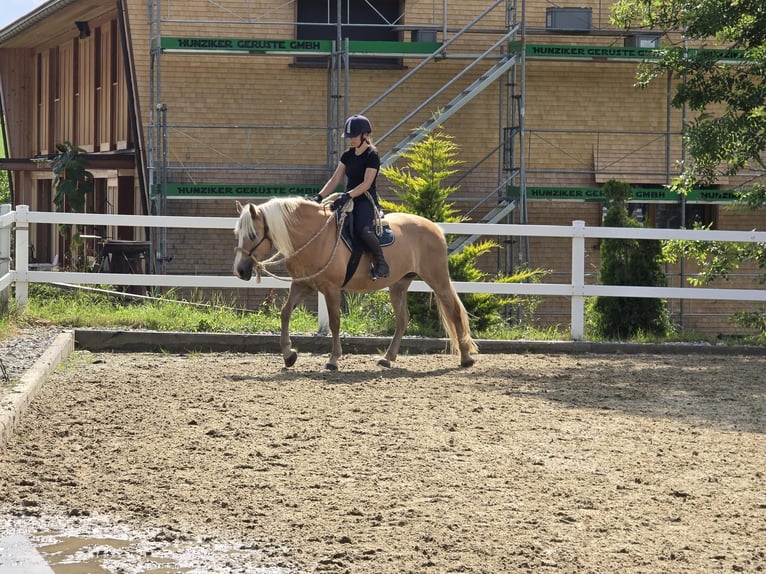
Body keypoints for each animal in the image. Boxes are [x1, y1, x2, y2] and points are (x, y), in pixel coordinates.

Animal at [231, 197, 476, 368]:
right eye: (237, 234)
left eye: (252, 235)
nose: (240, 270)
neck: (314, 237)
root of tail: (435, 228)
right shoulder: (302, 285)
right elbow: (284, 314)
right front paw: (288, 355)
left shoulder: (330, 289)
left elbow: (334, 322)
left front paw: (333, 359)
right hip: (399, 284)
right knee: (402, 319)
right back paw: (388, 358)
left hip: (437, 279)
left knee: (454, 311)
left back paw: (465, 358)